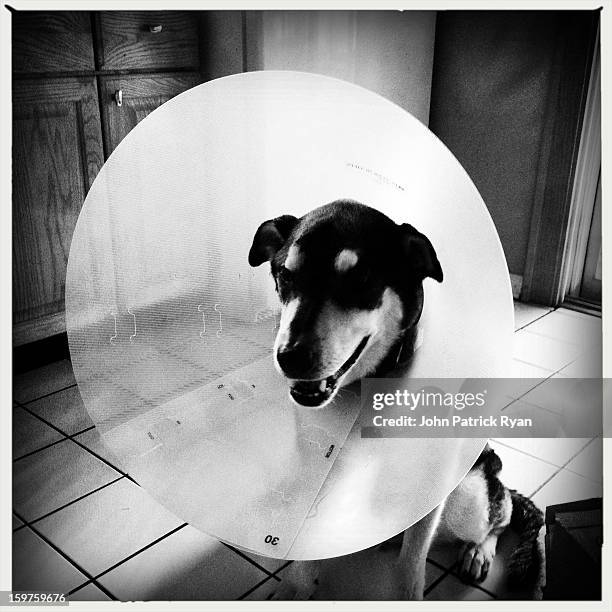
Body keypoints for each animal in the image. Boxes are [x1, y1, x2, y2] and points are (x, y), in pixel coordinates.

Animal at [246, 200, 544, 596]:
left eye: (360, 280)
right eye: (284, 274)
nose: (289, 358)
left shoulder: (427, 486)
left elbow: (410, 566)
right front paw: (297, 586)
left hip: (468, 500)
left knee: (504, 509)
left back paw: (478, 552)